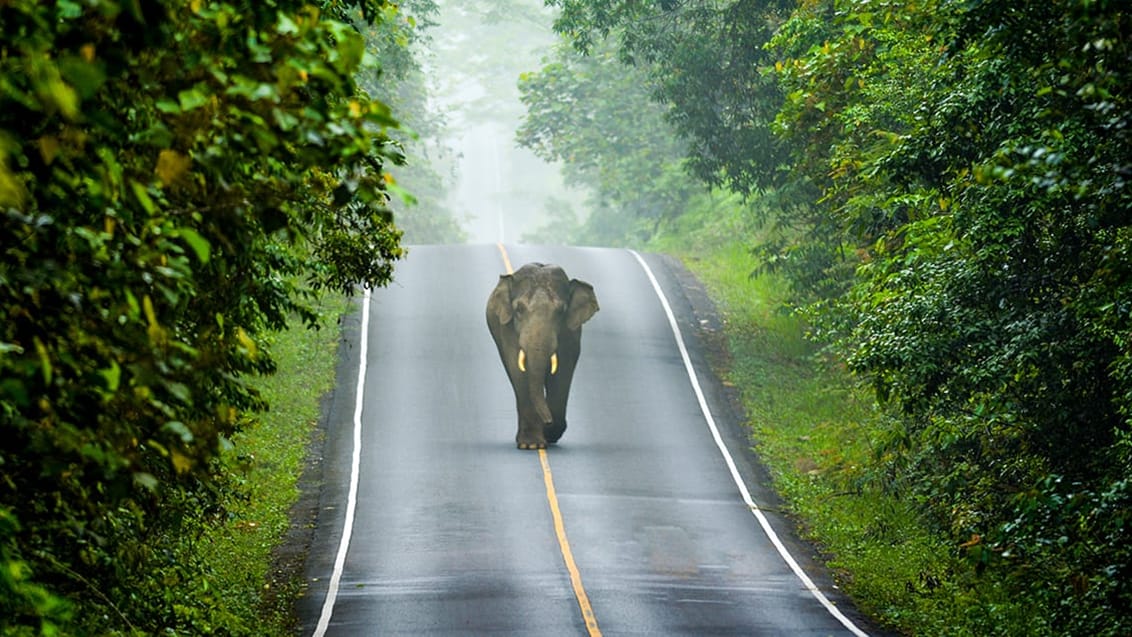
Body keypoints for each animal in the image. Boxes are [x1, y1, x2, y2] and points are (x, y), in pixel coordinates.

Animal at [484, 261, 597, 450]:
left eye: (561, 311)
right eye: (519, 309)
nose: (548, 422)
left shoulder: (571, 332)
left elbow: (563, 370)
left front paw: (550, 433)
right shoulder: (507, 328)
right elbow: (518, 370)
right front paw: (531, 445)